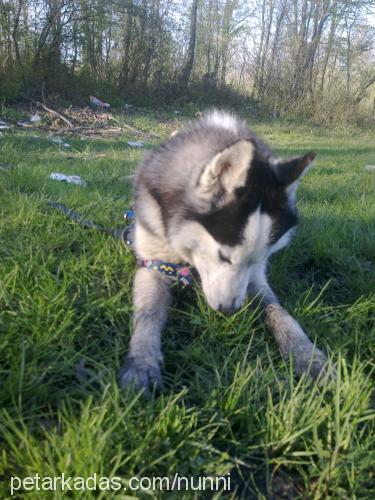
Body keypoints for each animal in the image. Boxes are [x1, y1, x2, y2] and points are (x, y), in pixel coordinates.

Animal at [119, 110, 328, 394]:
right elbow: (148, 313)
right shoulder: (153, 262)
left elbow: (278, 311)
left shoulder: (256, 277)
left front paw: (307, 354)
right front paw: (141, 361)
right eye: (224, 256)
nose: (229, 311)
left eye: (257, 260)